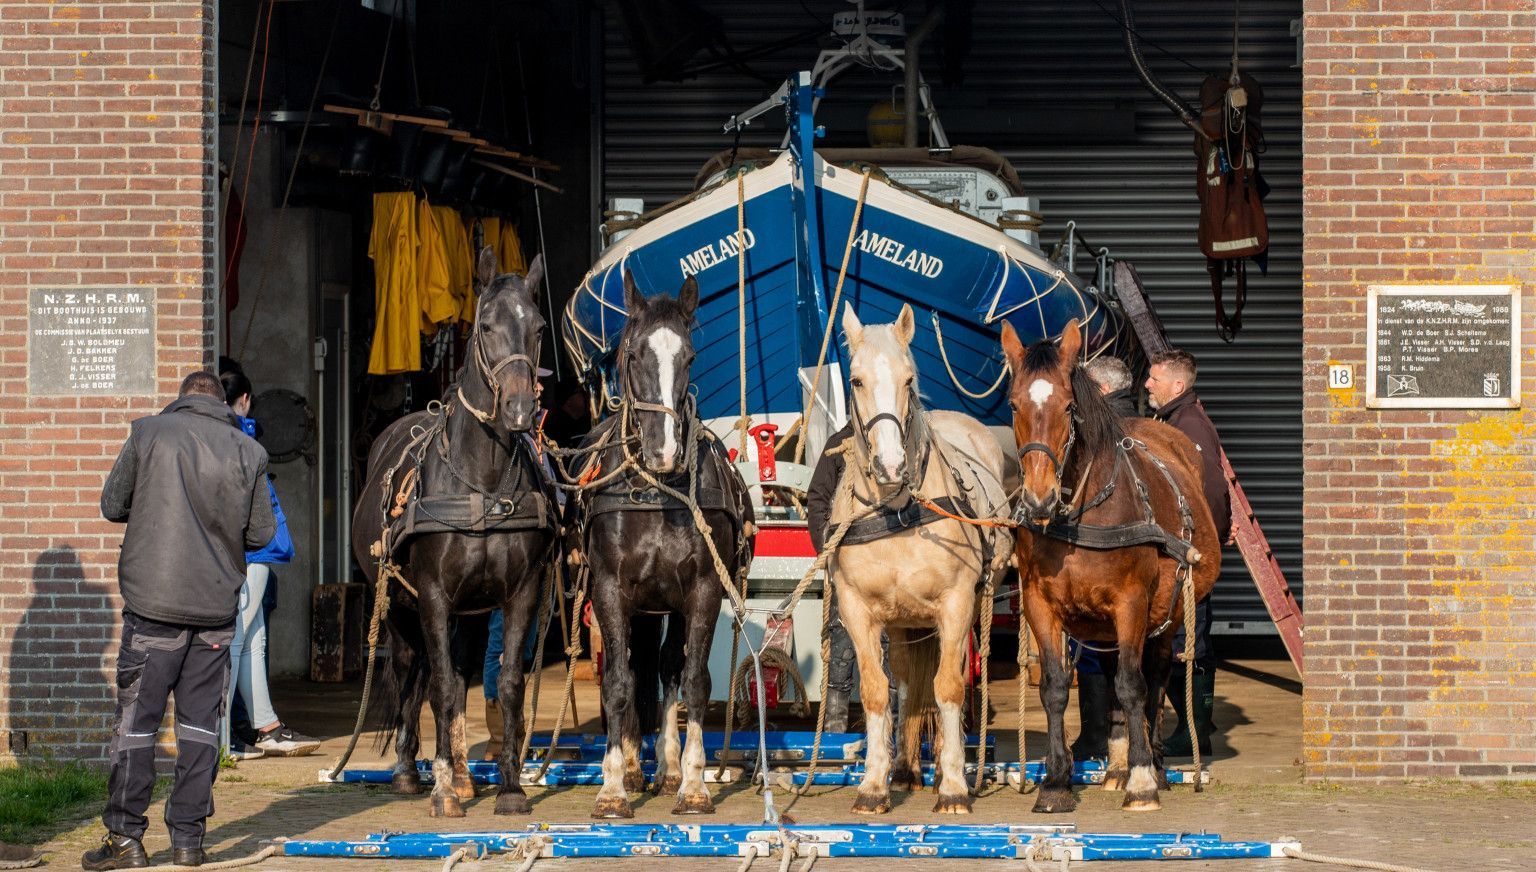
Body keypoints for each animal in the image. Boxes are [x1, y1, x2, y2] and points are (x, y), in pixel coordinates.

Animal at [351, 250, 559, 816]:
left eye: (538, 327)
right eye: (485, 326)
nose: (520, 410)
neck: (480, 484)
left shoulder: (519, 594)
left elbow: (504, 684)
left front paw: (508, 788)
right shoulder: (433, 596)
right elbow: (440, 688)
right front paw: (442, 791)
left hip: (471, 612)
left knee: (464, 674)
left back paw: (465, 774)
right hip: (399, 608)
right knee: (409, 675)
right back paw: (411, 772)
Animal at [568, 273, 752, 816]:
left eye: (689, 355)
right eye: (632, 354)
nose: (664, 450)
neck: (655, 490)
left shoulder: (703, 590)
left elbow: (693, 680)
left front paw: (692, 783)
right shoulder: (610, 590)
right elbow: (617, 682)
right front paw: (611, 788)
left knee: (667, 668)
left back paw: (667, 768)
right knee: (634, 667)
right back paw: (631, 766)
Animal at [829, 302, 1019, 816]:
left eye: (909, 378)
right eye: (855, 380)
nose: (891, 466)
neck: (897, 510)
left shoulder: (955, 605)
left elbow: (948, 687)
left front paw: (952, 785)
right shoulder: (859, 611)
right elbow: (879, 693)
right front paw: (873, 784)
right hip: (903, 623)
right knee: (908, 685)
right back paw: (905, 769)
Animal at [995, 323, 1222, 816]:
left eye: (1068, 406)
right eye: (1014, 404)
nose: (1039, 498)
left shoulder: (1131, 602)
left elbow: (1134, 686)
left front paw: (1142, 779)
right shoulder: (1040, 604)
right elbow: (1056, 687)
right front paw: (1055, 783)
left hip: (1165, 613)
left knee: (1154, 676)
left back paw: (1151, 763)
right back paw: (1117, 765)